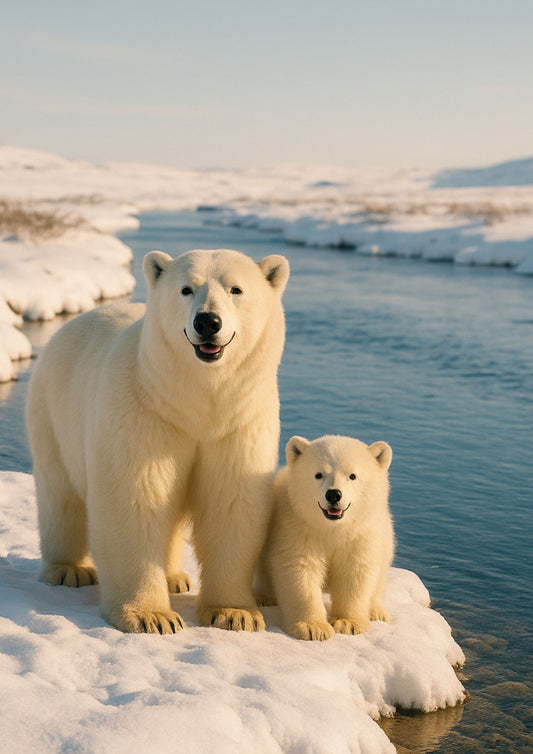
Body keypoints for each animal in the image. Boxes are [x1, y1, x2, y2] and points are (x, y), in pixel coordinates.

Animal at [25, 247, 290, 634]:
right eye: (186, 289)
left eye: (236, 289)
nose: (207, 322)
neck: (195, 398)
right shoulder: (145, 413)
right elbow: (139, 498)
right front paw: (151, 616)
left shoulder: (239, 423)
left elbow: (231, 503)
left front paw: (235, 613)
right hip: (52, 410)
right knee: (60, 493)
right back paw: (69, 570)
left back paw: (174, 577)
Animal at [257, 434, 394, 640]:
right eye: (318, 474)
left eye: (352, 475)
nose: (334, 494)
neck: (332, 528)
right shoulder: (298, 527)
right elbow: (301, 570)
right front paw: (312, 627)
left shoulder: (360, 536)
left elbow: (355, 572)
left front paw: (348, 623)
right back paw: (265, 597)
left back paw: (376, 611)